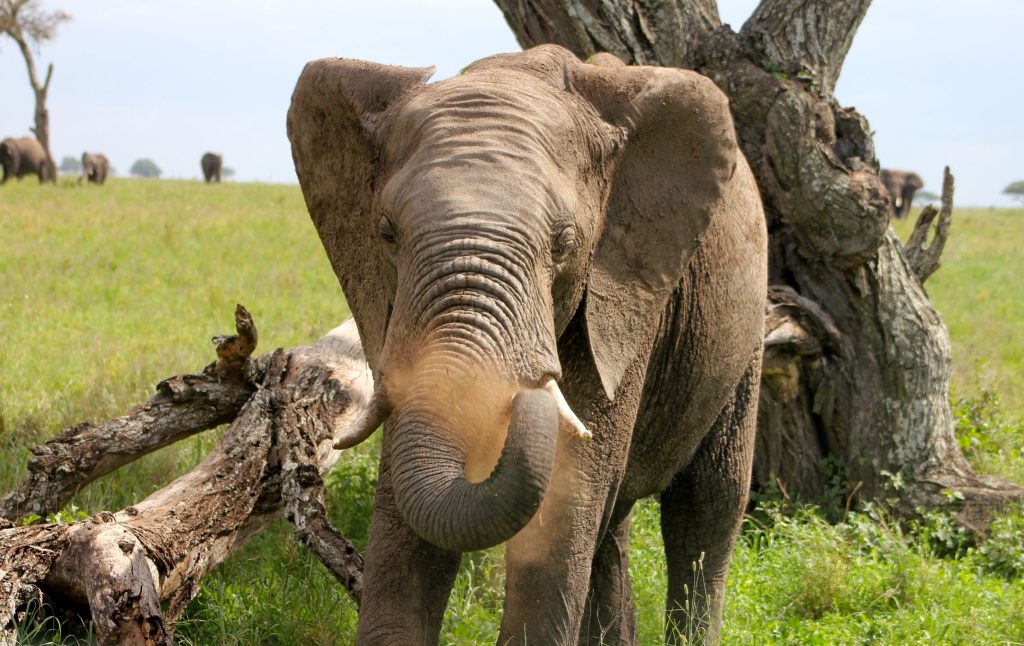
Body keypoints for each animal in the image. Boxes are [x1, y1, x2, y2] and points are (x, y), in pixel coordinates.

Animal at [288, 45, 767, 645]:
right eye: (385, 233)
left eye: (564, 244)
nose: (530, 385)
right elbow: (406, 510)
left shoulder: (620, 302)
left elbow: (567, 504)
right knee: (614, 526)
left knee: (707, 503)